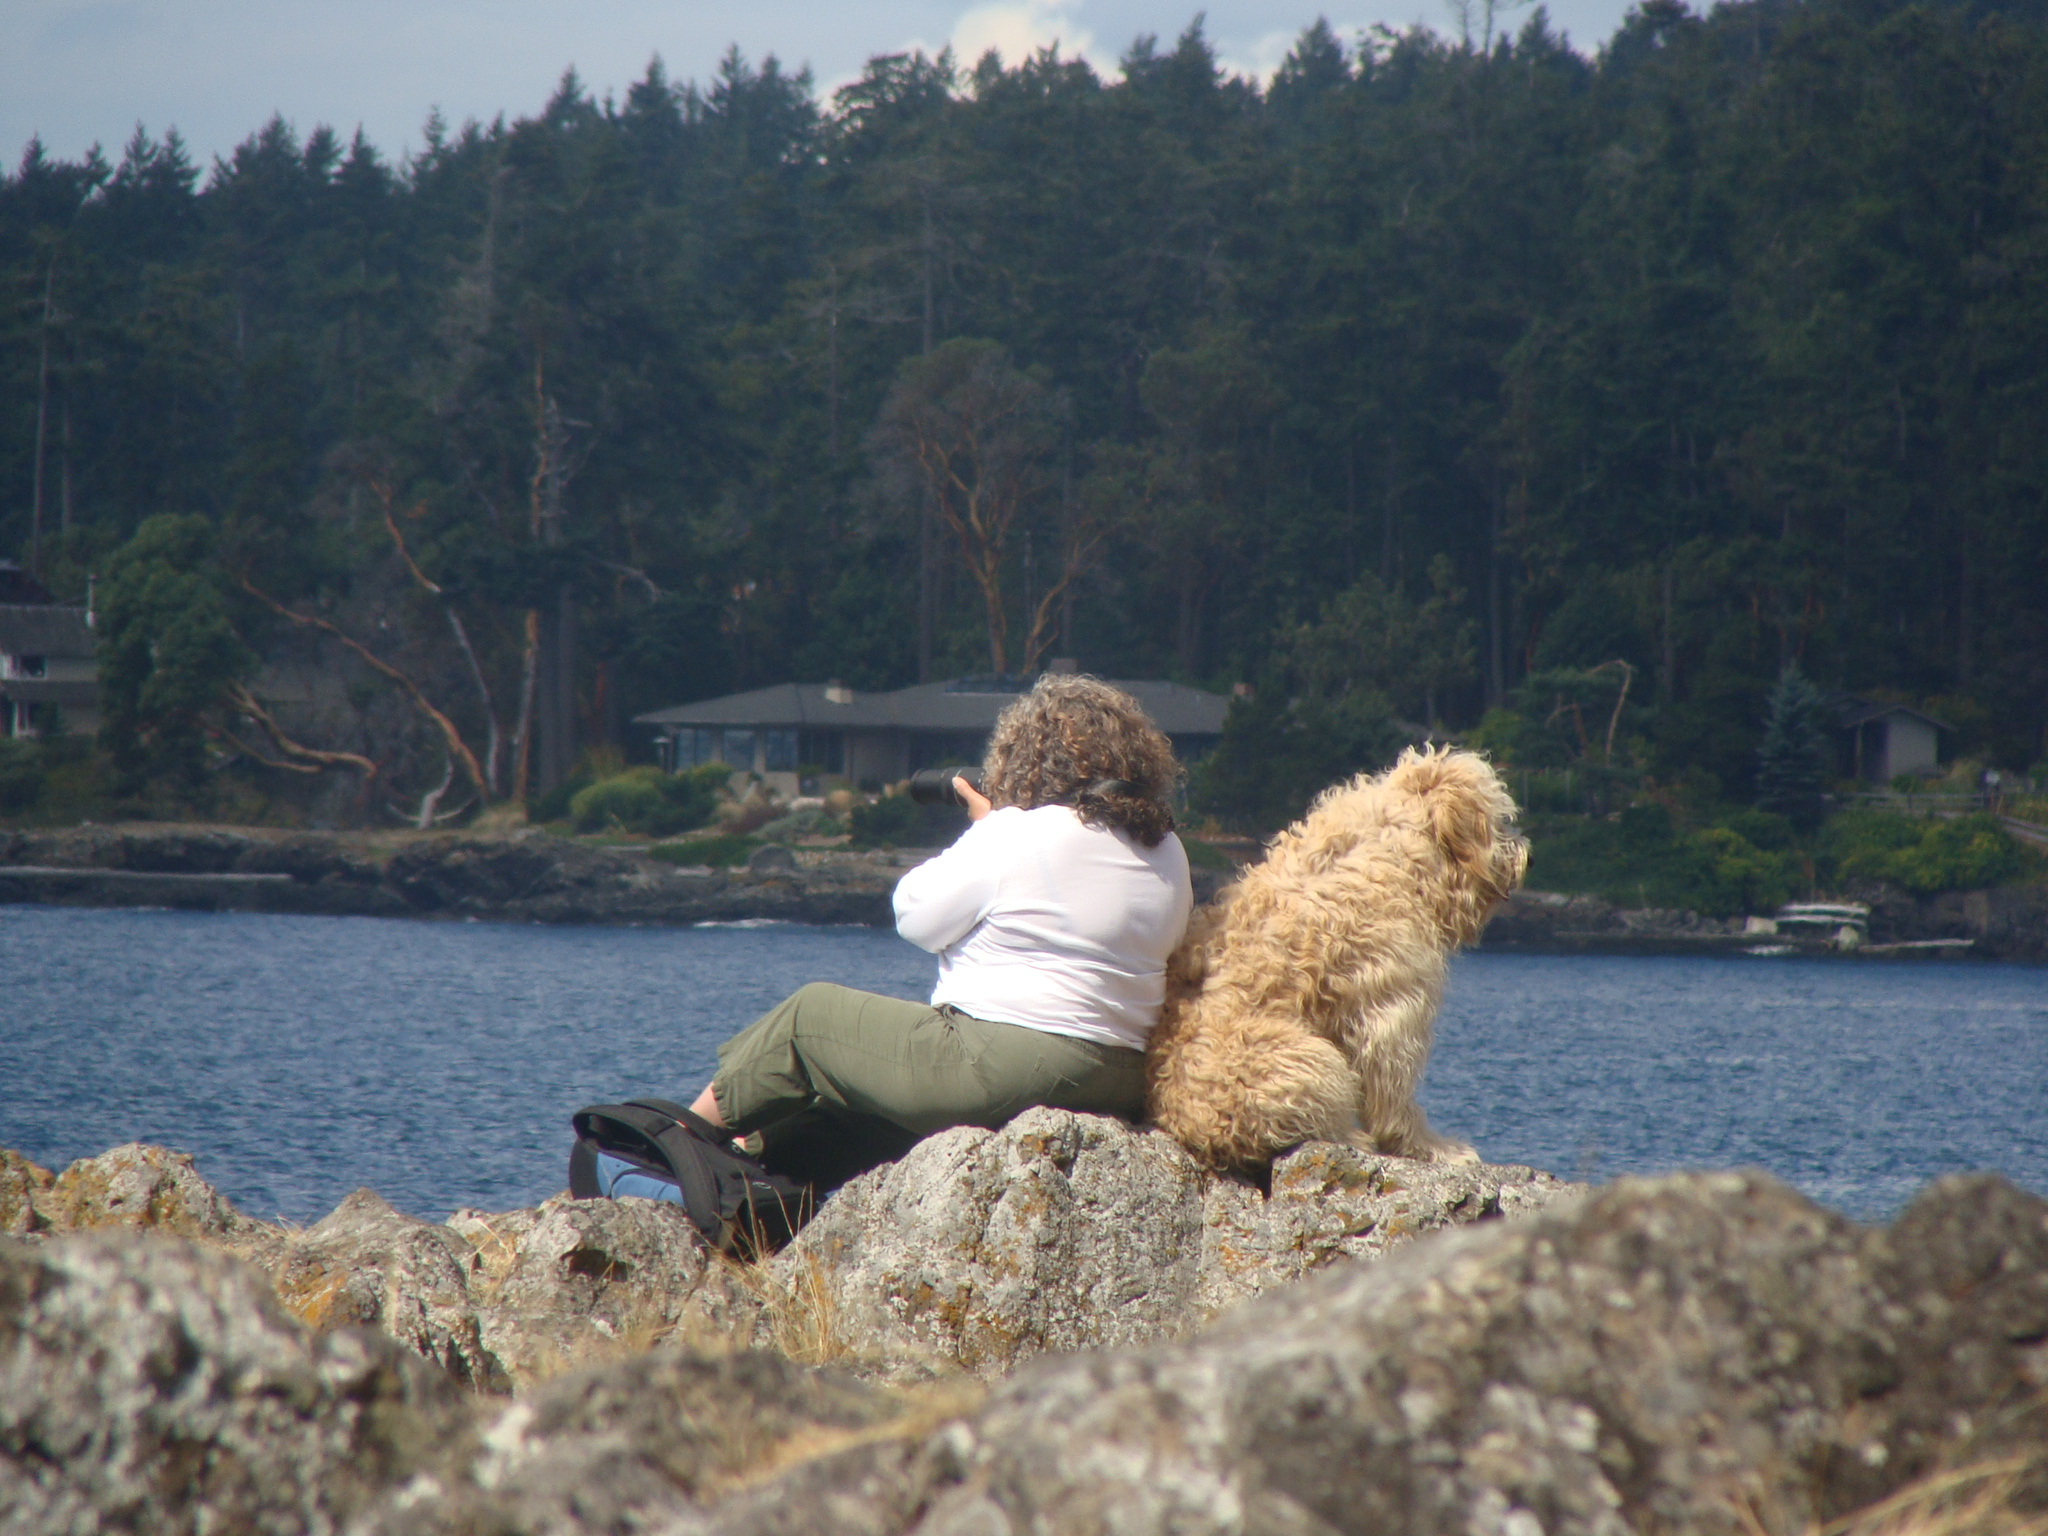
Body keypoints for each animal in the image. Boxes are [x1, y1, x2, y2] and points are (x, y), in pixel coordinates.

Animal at [1146, 746, 1528, 1170]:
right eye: (1501, 820)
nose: (1524, 855)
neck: (1398, 843)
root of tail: (1193, 1128)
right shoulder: (1390, 1004)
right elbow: (1393, 1090)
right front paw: (1432, 1146)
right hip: (1306, 1062)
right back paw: (1355, 1139)